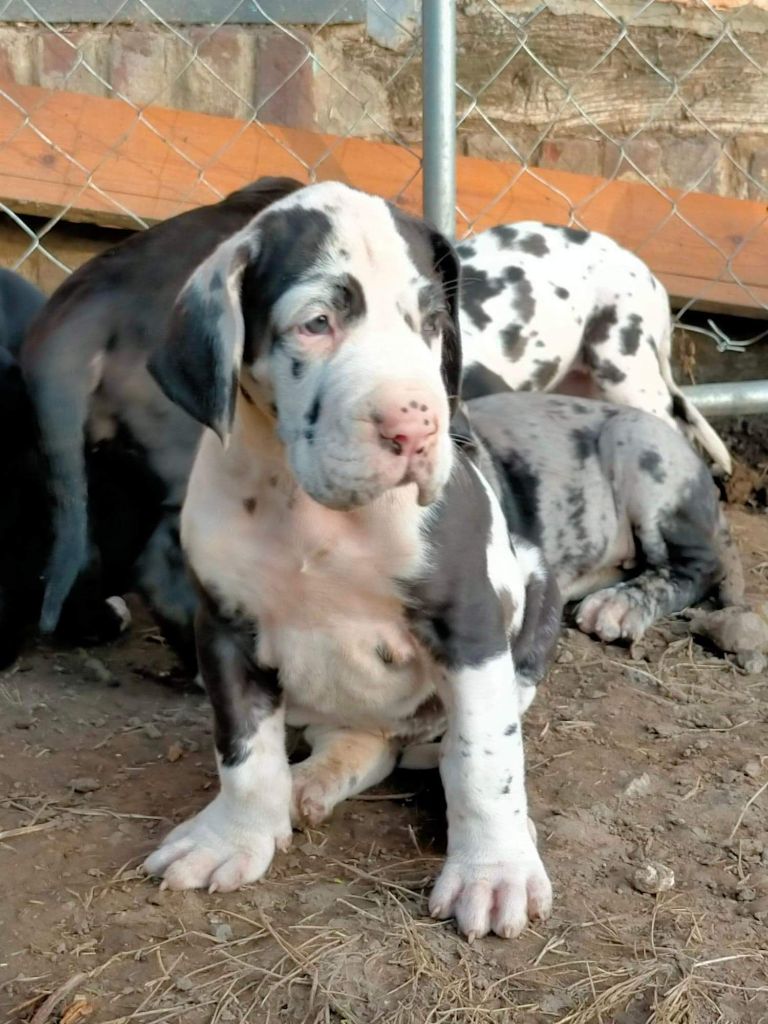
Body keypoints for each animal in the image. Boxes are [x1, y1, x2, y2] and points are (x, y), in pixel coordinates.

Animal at [141, 181, 563, 942]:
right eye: (316, 323)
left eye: (430, 323)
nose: (416, 426)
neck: (310, 511)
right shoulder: (223, 626)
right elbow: (243, 750)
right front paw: (233, 837)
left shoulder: (469, 624)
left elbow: (485, 759)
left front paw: (493, 873)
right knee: (362, 739)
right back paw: (312, 779)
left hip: (537, 599)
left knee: (461, 737)